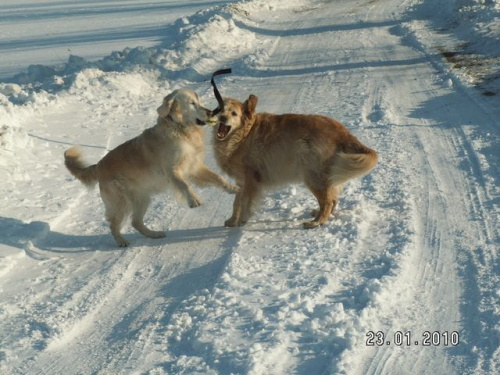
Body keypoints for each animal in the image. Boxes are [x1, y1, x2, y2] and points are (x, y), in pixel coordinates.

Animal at [65, 88, 238, 247]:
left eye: (199, 102)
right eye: (192, 104)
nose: (211, 112)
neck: (179, 128)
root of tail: (99, 165)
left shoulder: (194, 167)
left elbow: (217, 177)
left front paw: (232, 188)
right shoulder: (172, 170)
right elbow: (184, 185)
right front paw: (193, 200)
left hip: (142, 197)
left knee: (135, 222)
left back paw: (153, 234)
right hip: (120, 203)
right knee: (114, 224)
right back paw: (121, 241)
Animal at [212, 94, 378, 229]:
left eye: (234, 113)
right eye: (221, 111)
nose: (223, 118)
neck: (244, 135)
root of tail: (342, 131)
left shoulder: (251, 179)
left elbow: (244, 201)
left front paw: (242, 220)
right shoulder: (241, 181)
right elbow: (236, 202)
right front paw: (233, 220)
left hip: (313, 175)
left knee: (328, 202)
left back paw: (317, 222)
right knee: (332, 199)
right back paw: (318, 214)